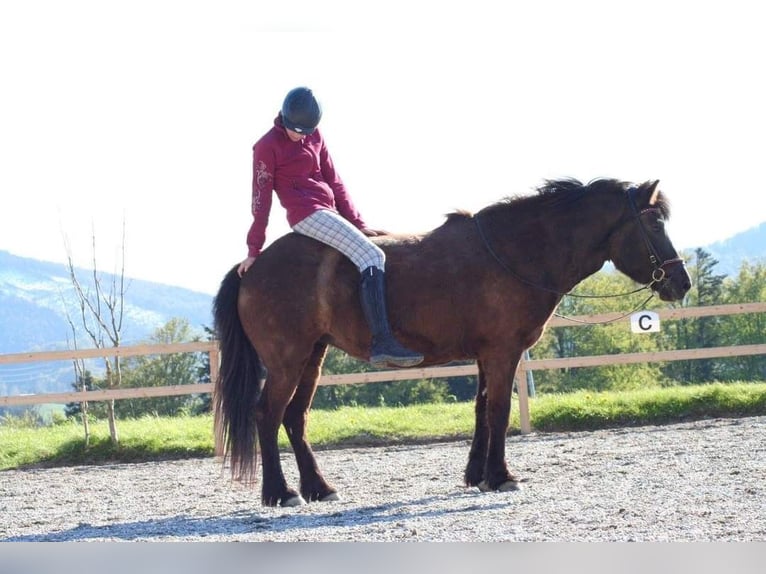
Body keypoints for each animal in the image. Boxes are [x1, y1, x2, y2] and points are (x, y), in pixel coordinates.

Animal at [213, 177, 692, 508]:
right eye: (654, 223)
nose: (682, 282)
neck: (515, 251)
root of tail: (251, 266)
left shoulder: (485, 354)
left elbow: (481, 409)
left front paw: (477, 475)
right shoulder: (502, 352)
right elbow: (498, 412)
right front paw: (501, 476)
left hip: (313, 357)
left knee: (295, 418)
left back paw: (318, 487)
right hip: (287, 361)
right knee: (267, 415)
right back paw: (280, 492)